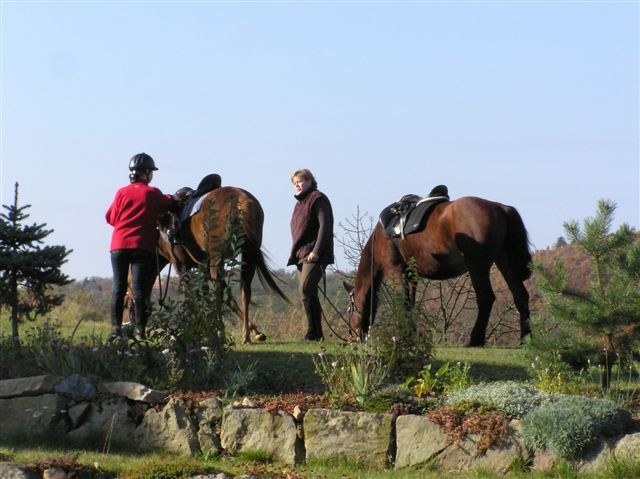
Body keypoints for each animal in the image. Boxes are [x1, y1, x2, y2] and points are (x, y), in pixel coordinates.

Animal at [153, 187, 290, 344]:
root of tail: (241, 200)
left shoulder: (182, 265)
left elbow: (191, 297)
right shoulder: (203, 267)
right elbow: (223, 297)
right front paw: (256, 332)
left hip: (217, 259)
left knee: (218, 292)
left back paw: (222, 334)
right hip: (248, 254)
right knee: (245, 289)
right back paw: (245, 335)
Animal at [342, 193, 532, 346]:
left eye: (349, 309)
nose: (352, 338)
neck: (382, 236)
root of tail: (499, 207)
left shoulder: (394, 271)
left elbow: (403, 303)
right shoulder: (411, 276)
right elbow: (410, 304)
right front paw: (411, 335)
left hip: (477, 265)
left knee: (486, 298)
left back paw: (475, 340)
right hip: (504, 262)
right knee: (520, 296)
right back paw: (525, 339)